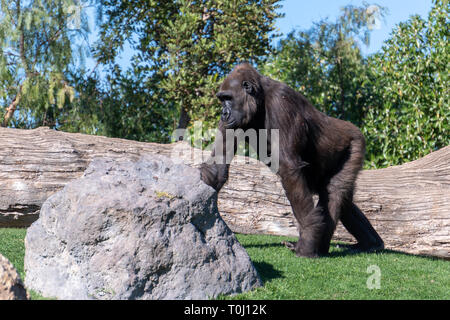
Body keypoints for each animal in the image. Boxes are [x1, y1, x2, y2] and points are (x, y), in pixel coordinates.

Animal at [200, 62, 384, 258]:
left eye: (227, 98)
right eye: (221, 99)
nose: (223, 113)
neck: (260, 98)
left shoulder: (280, 103)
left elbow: (289, 168)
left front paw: (308, 239)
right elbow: (217, 168)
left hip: (355, 142)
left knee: (334, 191)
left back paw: (318, 247)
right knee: (341, 199)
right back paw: (370, 243)